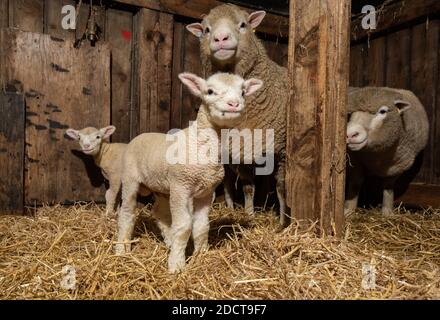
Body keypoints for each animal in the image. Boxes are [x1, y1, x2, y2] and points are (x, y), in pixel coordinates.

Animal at [115, 72, 262, 272]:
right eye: (210, 91)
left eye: (243, 92)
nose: (234, 104)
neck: (201, 145)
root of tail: (141, 135)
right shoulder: (181, 188)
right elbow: (184, 226)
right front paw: (176, 265)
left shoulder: (206, 192)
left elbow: (201, 226)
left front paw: (201, 255)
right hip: (131, 178)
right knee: (127, 211)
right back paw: (122, 248)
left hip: (163, 187)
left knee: (158, 212)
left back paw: (169, 241)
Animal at [187, 3, 290, 226]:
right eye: (206, 30)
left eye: (243, 25)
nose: (221, 38)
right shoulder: (240, 151)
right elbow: (247, 188)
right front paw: (249, 215)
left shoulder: (282, 150)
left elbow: (281, 188)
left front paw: (283, 222)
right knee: (227, 180)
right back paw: (230, 207)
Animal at [346, 87, 428, 215]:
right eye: (349, 114)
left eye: (383, 111)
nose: (350, 134)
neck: (378, 154)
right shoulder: (355, 162)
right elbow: (355, 183)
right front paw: (348, 210)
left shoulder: (397, 166)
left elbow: (388, 187)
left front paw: (387, 212)